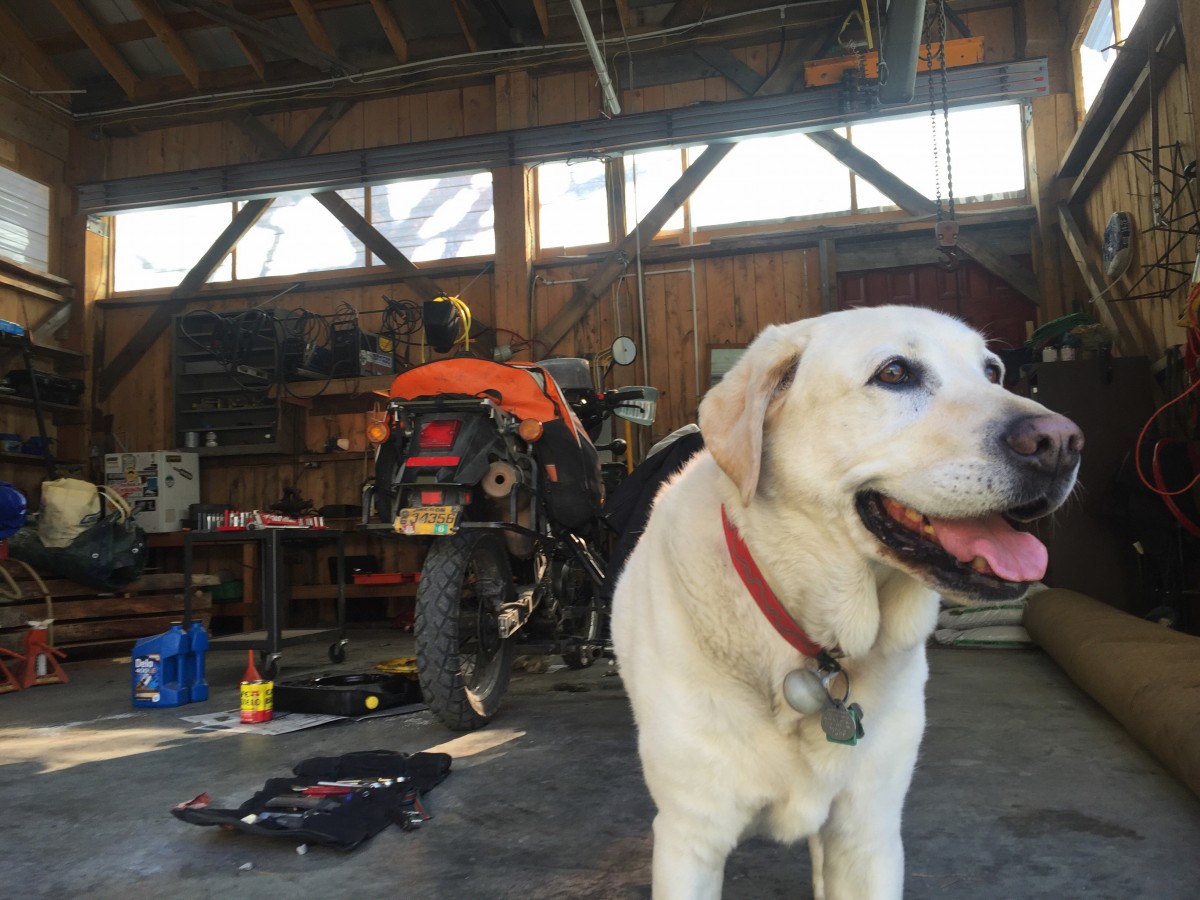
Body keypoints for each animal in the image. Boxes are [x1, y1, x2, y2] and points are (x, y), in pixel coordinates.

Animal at [614, 307, 1084, 897]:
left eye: (993, 372)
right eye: (894, 373)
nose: (1062, 442)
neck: (811, 646)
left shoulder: (867, 831)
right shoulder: (690, 838)